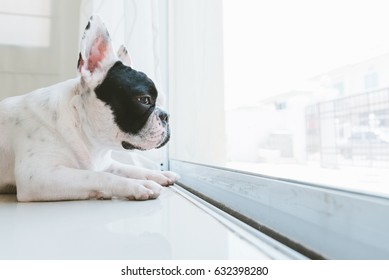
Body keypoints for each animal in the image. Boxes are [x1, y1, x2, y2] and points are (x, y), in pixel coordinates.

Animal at [0, 15, 179, 202]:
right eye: (144, 100)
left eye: (162, 101)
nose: (166, 115)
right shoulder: (37, 175)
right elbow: (99, 175)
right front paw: (138, 185)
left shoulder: (105, 163)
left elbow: (128, 168)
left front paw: (158, 174)